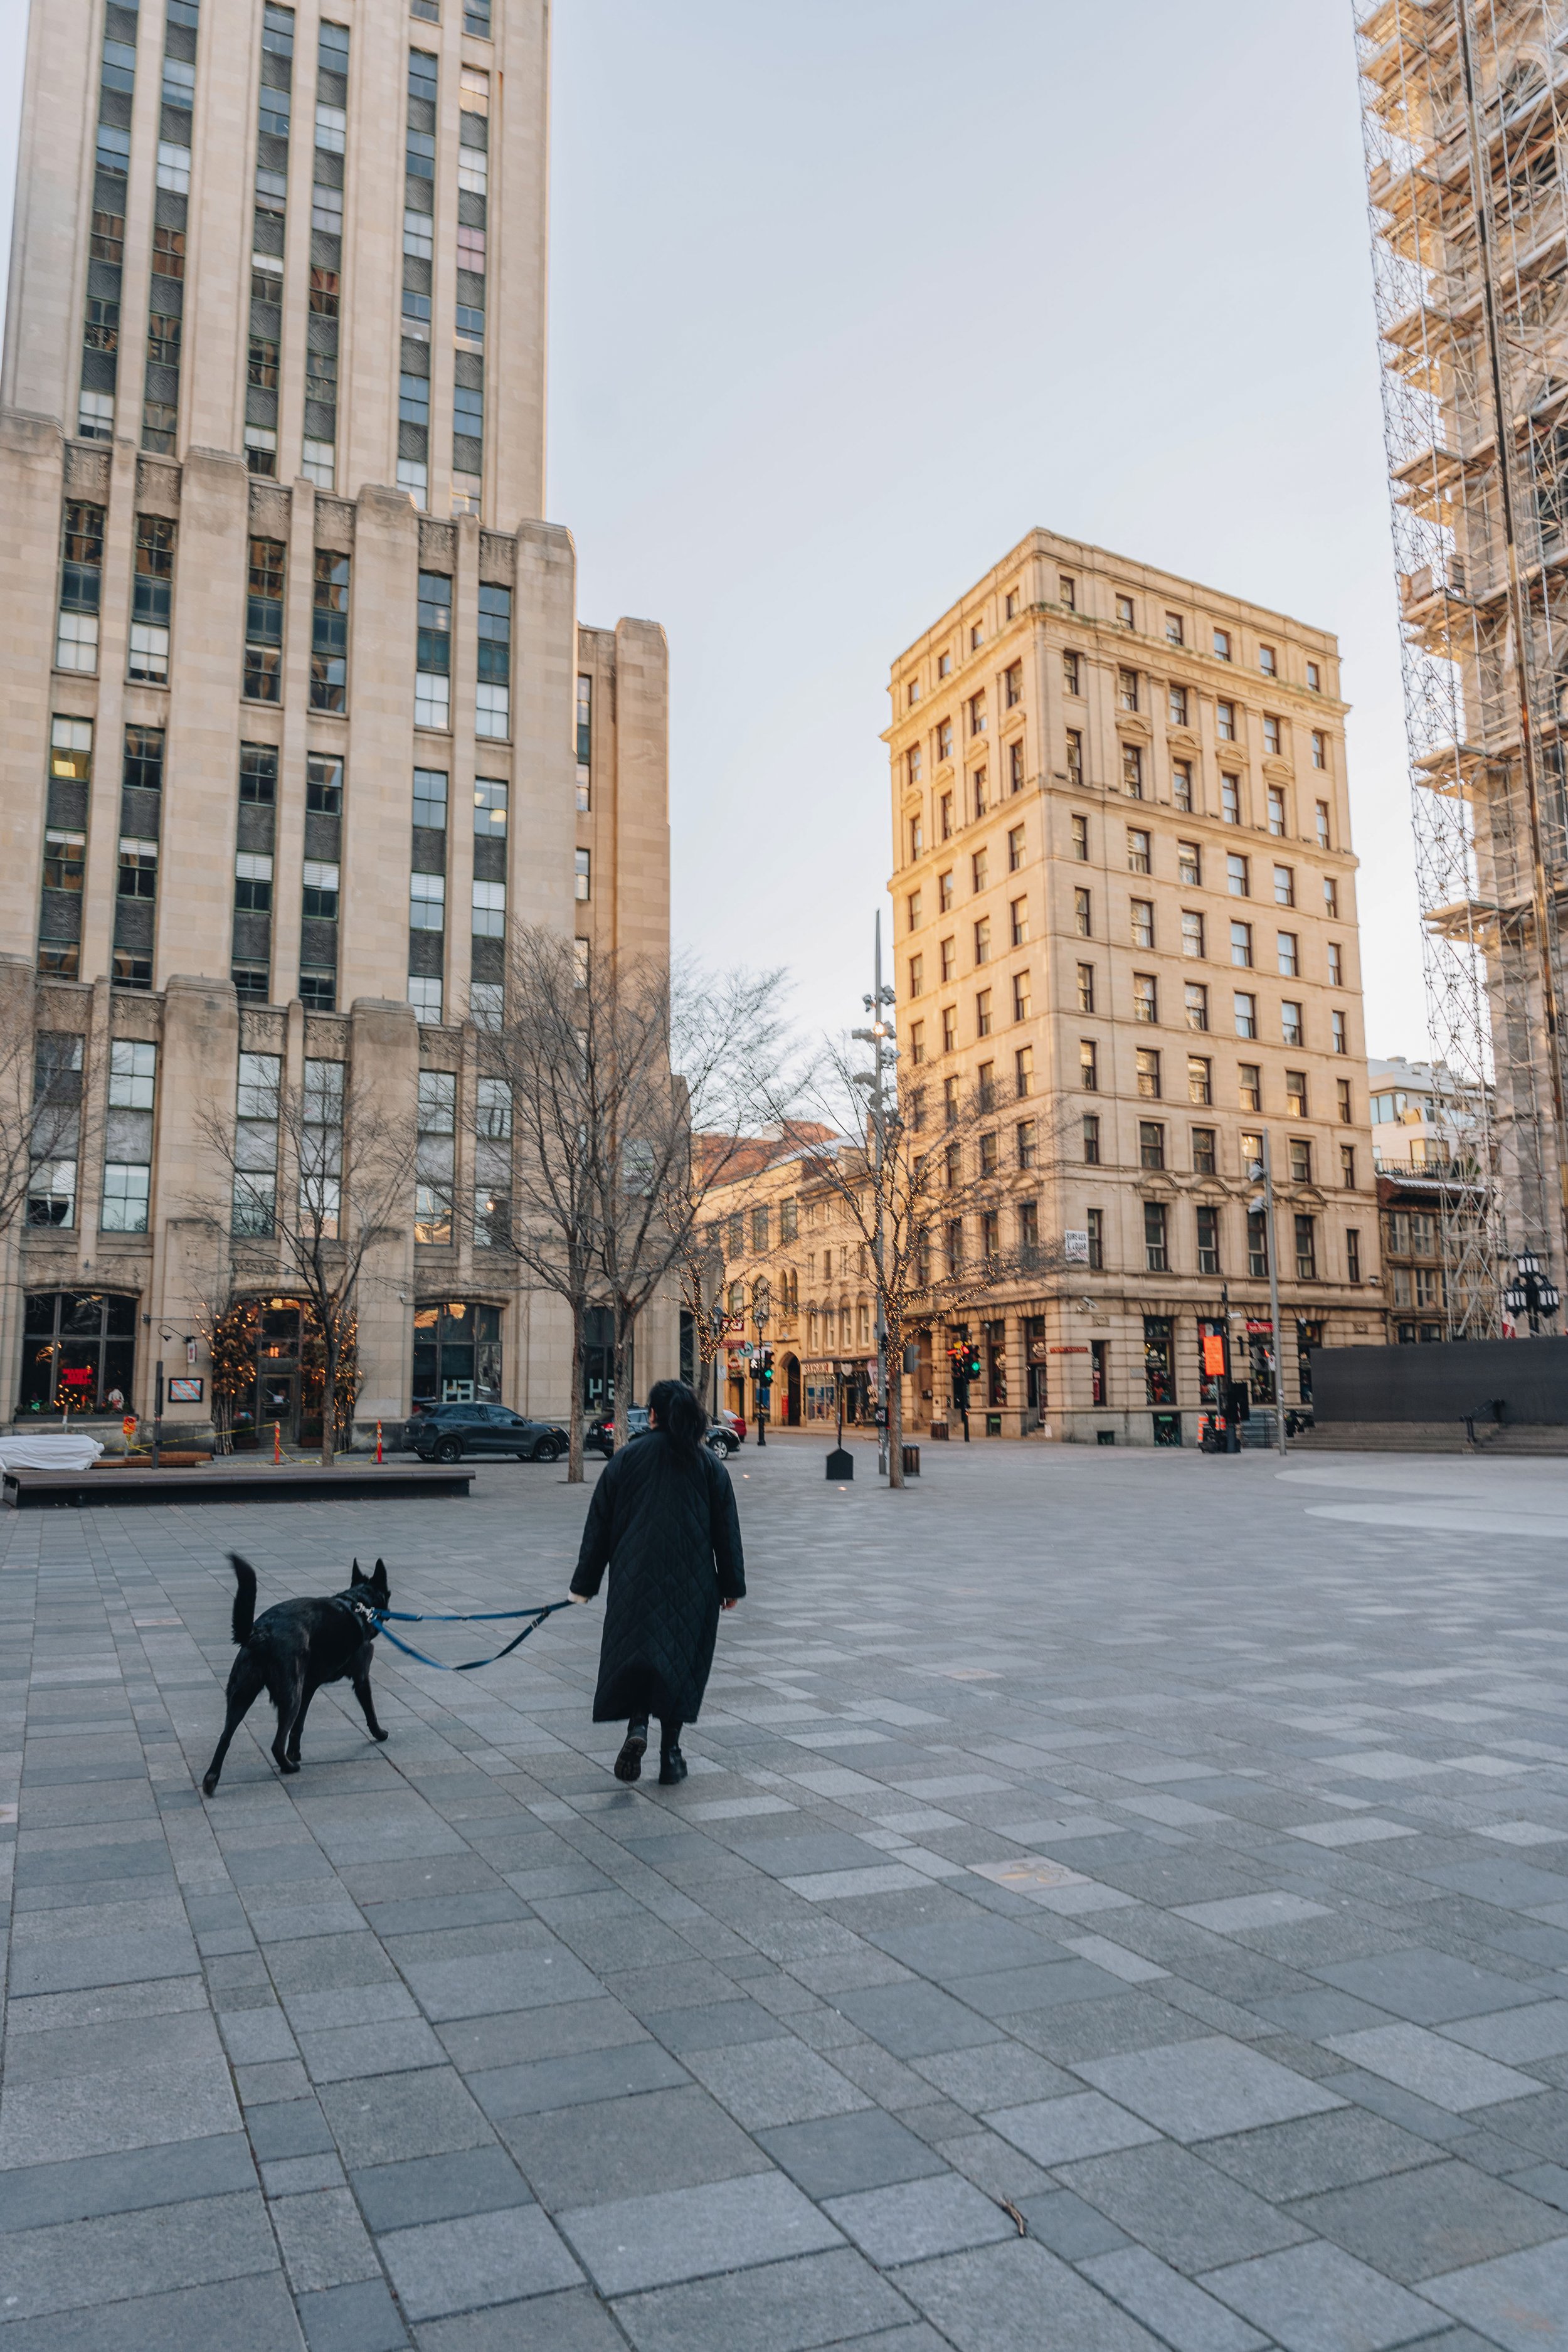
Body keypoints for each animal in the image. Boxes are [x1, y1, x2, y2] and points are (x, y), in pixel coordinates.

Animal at [202, 1552, 392, 1788]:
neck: (358, 1603)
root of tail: (261, 1632)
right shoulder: (361, 1679)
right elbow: (370, 1712)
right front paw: (379, 1733)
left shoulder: (308, 1687)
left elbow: (298, 1726)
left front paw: (294, 1751)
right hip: (290, 1696)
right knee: (276, 1744)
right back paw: (288, 1767)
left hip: (242, 1696)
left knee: (225, 1737)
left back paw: (211, 1780)